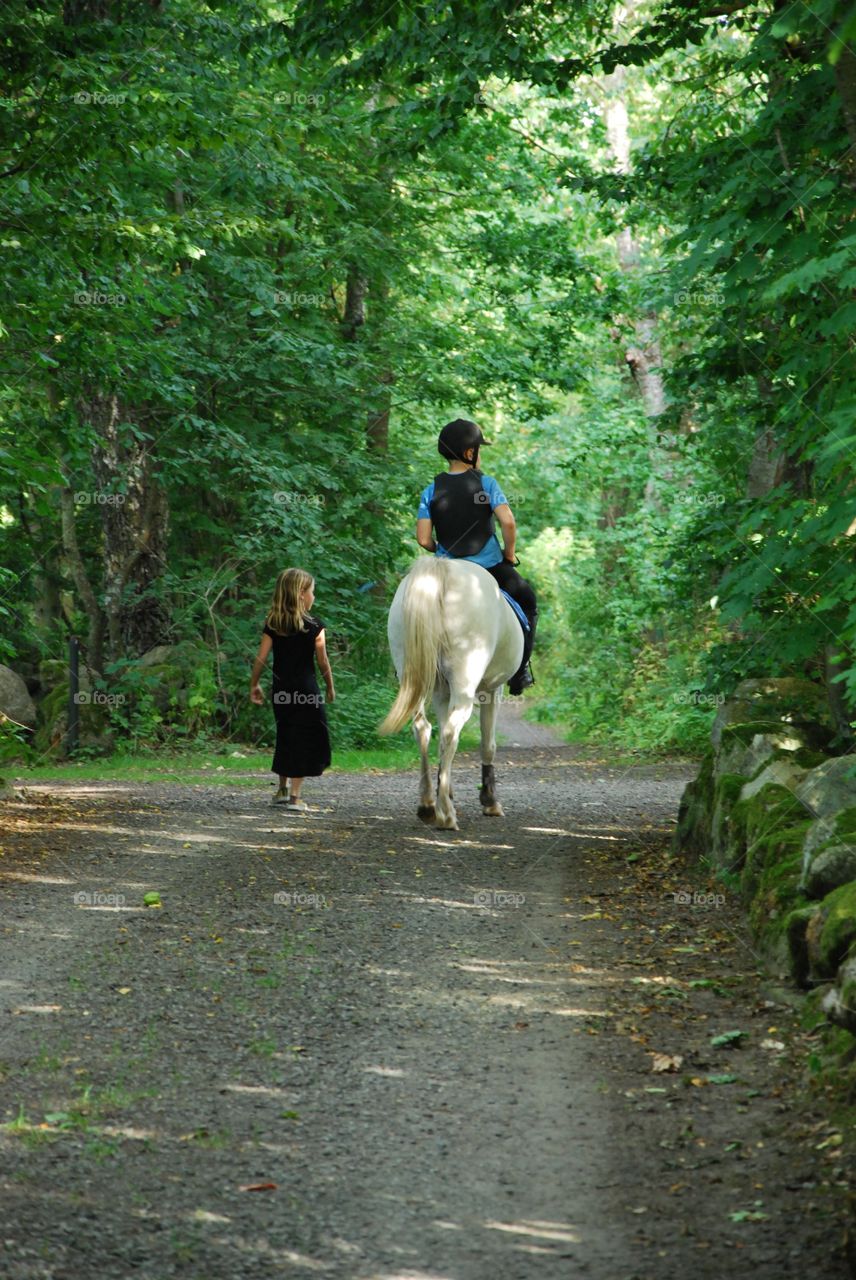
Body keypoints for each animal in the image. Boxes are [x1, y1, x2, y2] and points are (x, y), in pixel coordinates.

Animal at [378, 558, 522, 829]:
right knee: (450, 732)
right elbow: (488, 744)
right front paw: (489, 801)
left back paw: (427, 805)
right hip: (464, 680)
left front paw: (445, 788)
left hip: (412, 675)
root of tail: (442, 568)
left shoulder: (441, 693)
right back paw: (445, 814)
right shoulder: (492, 690)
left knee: (422, 728)